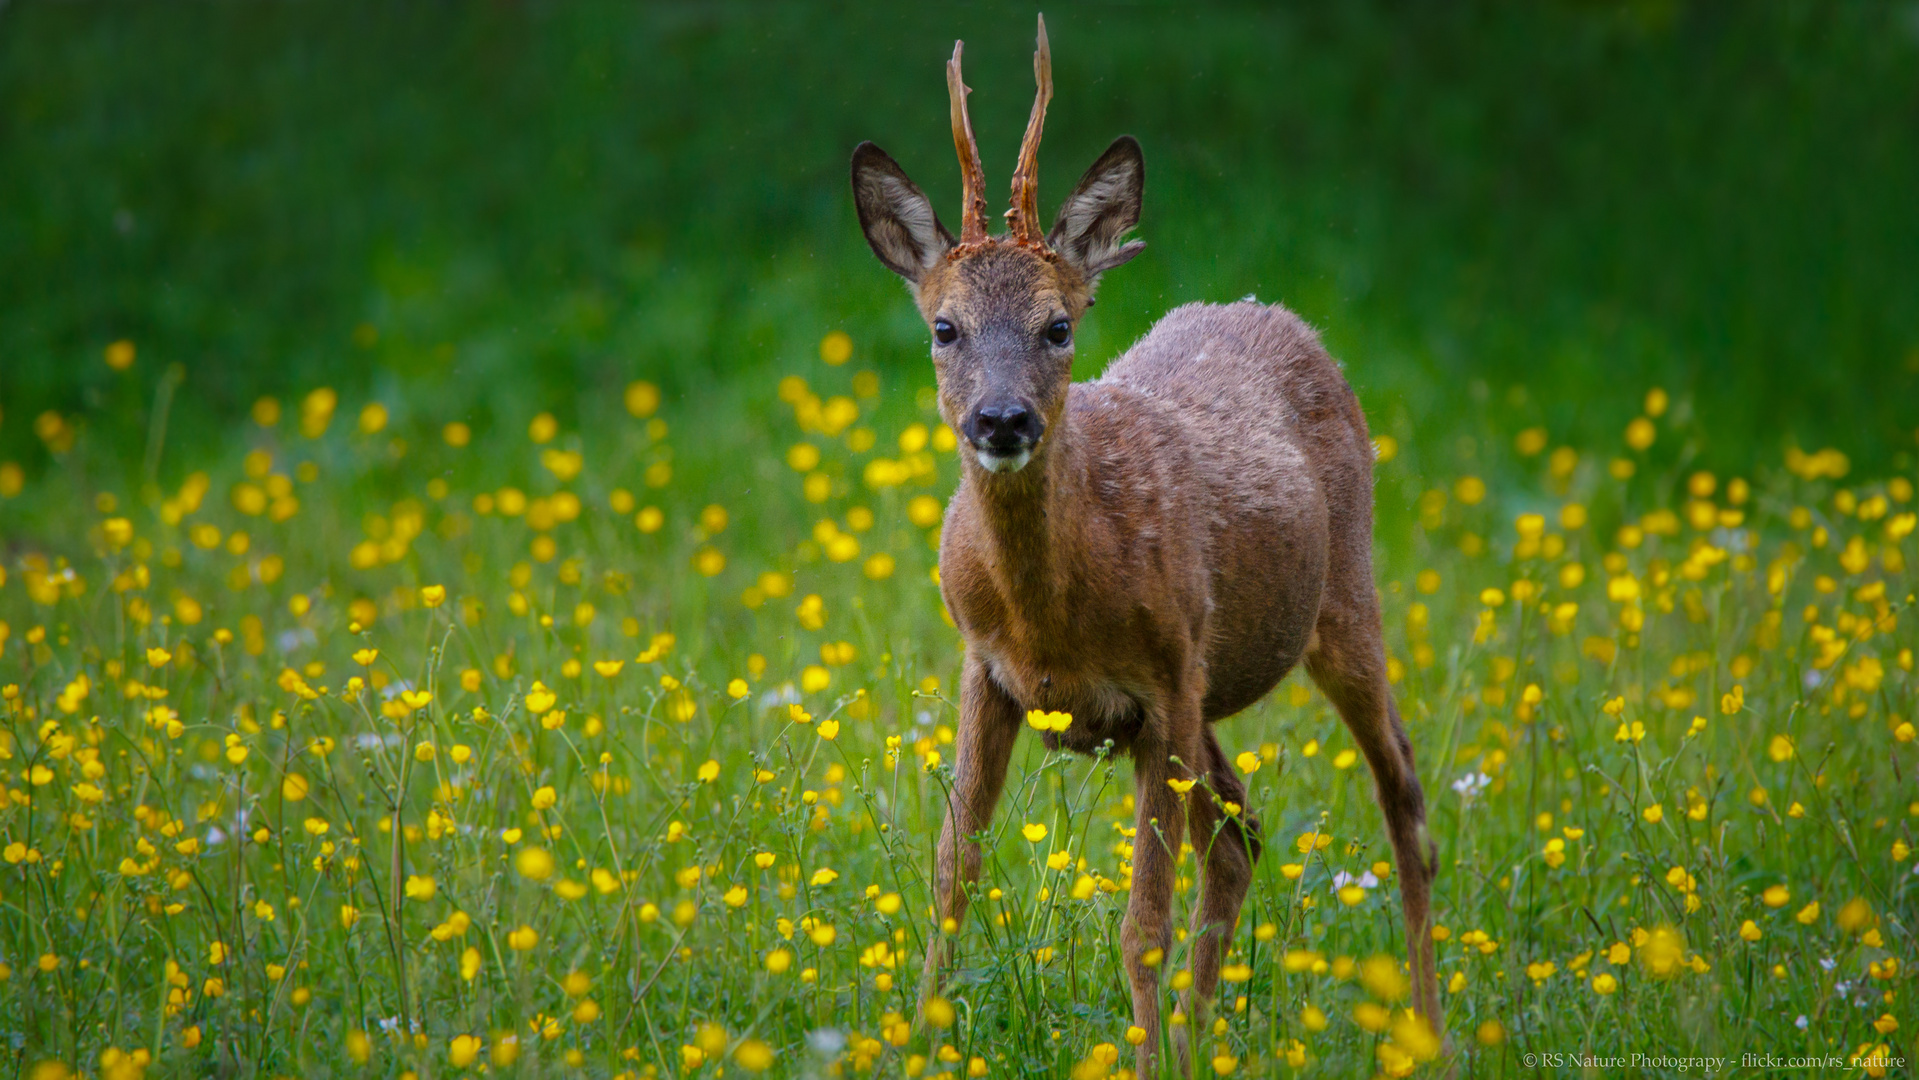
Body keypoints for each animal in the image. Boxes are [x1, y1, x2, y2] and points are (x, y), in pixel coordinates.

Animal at [855, 16, 1443, 1074]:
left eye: (1057, 325)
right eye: (943, 326)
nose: (1001, 420)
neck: (1048, 616)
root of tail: (1278, 314)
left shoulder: (1158, 688)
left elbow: (1141, 929)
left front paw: (1141, 1051)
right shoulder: (989, 672)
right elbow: (952, 875)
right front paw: (918, 1042)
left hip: (1333, 607)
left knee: (1403, 802)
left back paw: (1428, 1034)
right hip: (1206, 682)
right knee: (1241, 832)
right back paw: (1202, 1040)